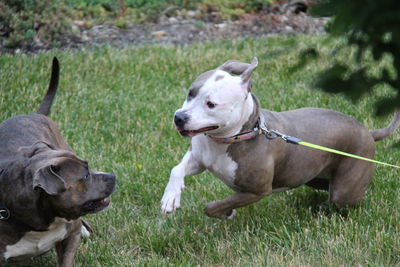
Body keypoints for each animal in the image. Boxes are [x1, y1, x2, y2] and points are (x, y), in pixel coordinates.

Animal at [161, 58, 400, 220]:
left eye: (211, 104)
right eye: (190, 93)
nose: (179, 117)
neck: (230, 139)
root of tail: (368, 132)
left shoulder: (257, 191)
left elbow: (211, 207)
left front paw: (226, 212)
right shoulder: (198, 158)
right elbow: (176, 169)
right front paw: (170, 197)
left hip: (344, 188)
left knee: (345, 199)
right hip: (314, 177)